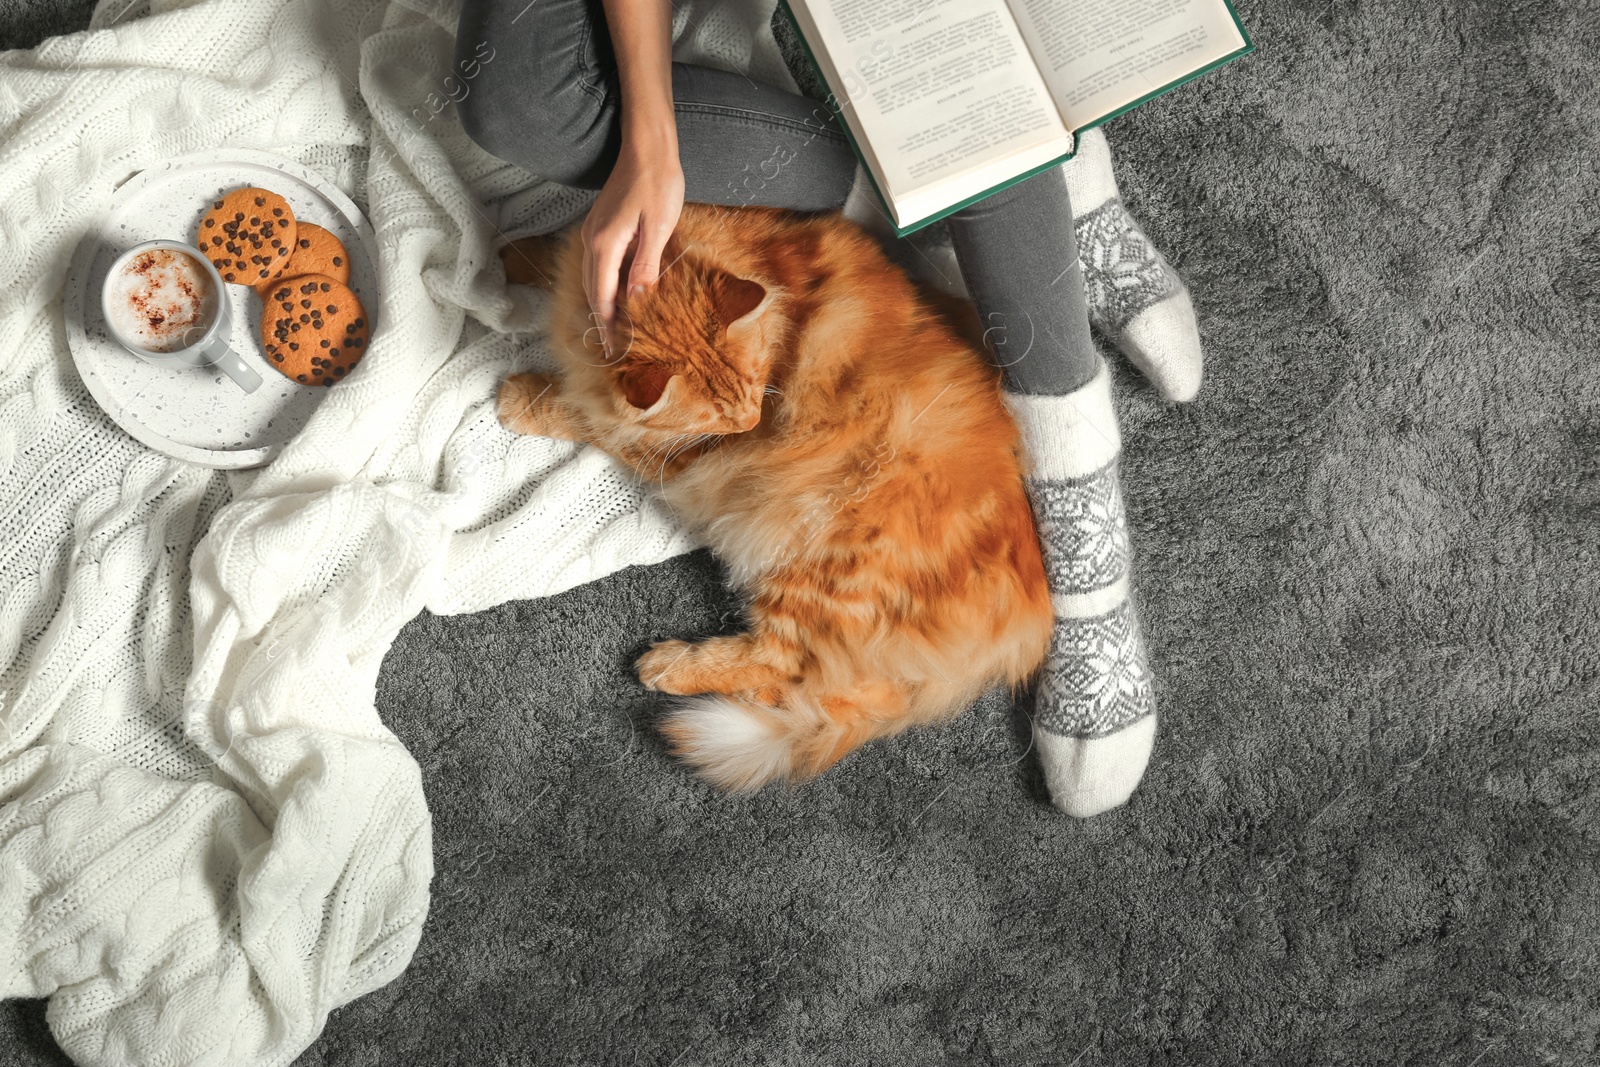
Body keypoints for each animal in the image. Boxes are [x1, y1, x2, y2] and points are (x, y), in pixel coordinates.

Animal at [499, 206, 1049, 793]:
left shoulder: (677, 452)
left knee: (777, 661)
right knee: (809, 689)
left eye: (752, 385)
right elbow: (555, 248)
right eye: (721, 410)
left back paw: (668, 665)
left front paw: (523, 398)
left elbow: (589, 417)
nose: (750, 424)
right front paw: (510, 253)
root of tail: (1031, 621)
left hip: (818, 572)